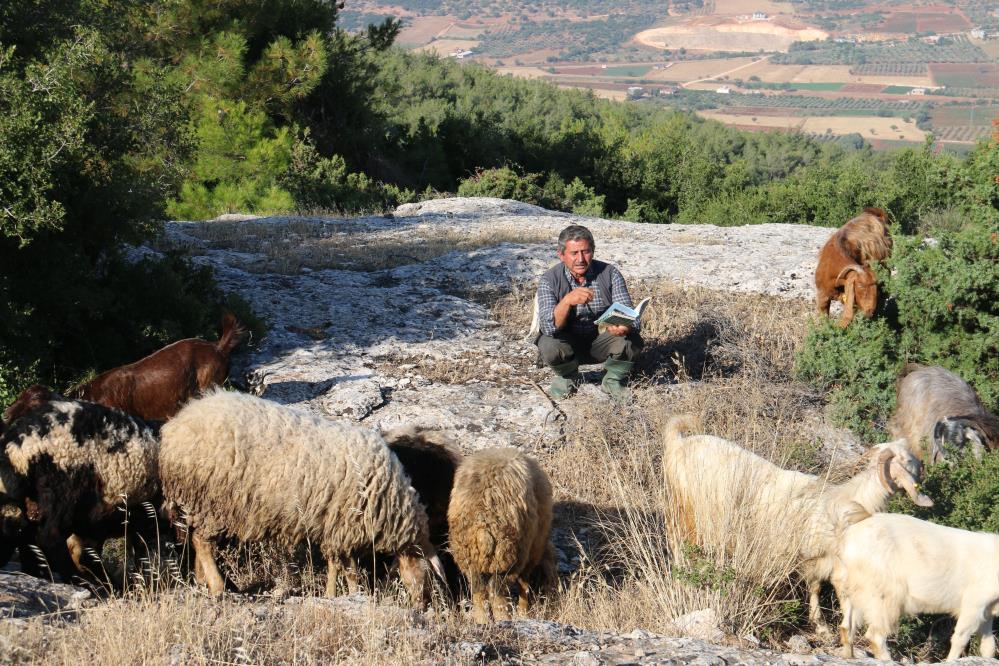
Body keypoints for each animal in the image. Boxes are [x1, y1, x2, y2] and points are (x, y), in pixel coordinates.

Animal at [159, 390, 442, 600]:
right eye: (427, 575)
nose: (422, 605)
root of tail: (175, 427)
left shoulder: (340, 529)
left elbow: (345, 567)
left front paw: (347, 593)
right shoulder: (341, 526)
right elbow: (341, 567)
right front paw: (337, 595)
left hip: (202, 502)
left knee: (197, 539)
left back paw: (202, 581)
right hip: (214, 500)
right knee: (203, 543)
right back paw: (218, 587)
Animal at [450, 446, 560, 624]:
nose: (555, 592)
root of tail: (482, 525)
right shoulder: (529, 552)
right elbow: (524, 584)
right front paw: (523, 613)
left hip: (468, 557)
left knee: (478, 591)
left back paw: (482, 620)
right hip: (506, 554)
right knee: (497, 593)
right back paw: (504, 619)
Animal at [660, 416, 932, 632]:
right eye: (908, 461)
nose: (924, 469)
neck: (846, 501)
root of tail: (679, 442)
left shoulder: (826, 559)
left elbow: (825, 589)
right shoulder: (814, 556)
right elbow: (822, 588)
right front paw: (825, 625)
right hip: (689, 511)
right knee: (679, 543)